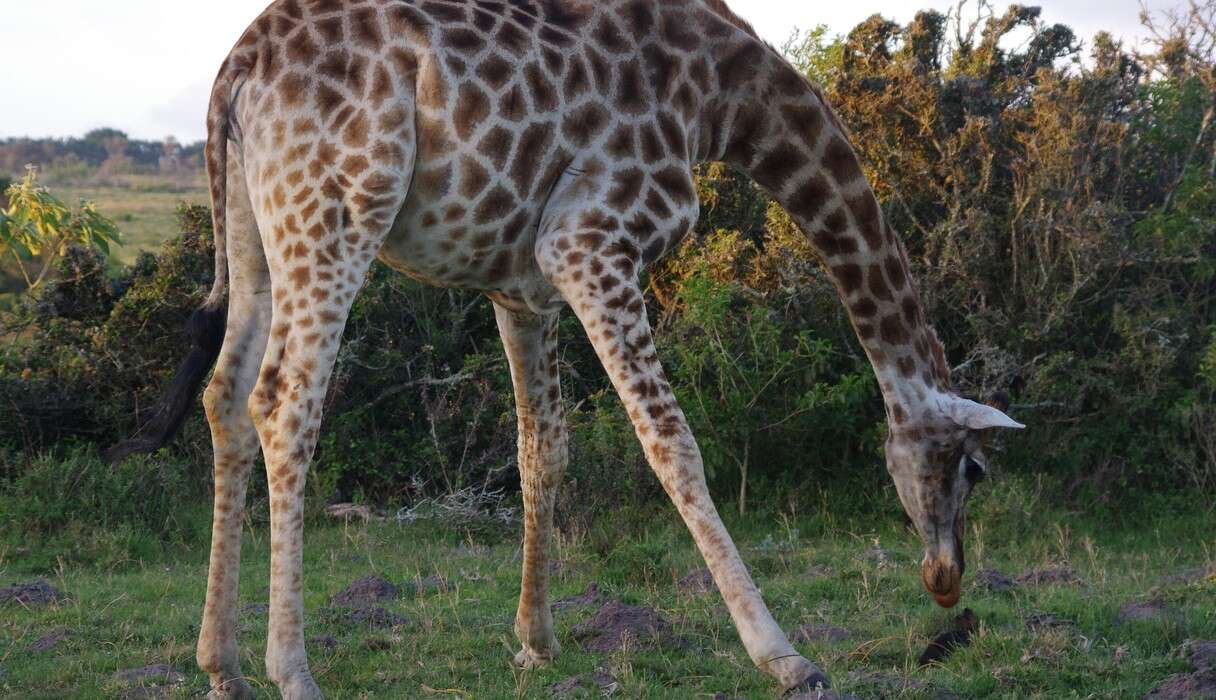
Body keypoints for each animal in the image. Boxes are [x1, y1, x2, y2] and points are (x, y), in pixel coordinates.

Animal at [109, 0, 1026, 697]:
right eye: (975, 469)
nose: (945, 582)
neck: (723, 98)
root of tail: (236, 71)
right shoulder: (592, 242)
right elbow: (672, 444)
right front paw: (784, 656)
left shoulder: (523, 286)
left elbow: (541, 446)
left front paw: (535, 640)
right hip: (337, 210)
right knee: (283, 404)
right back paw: (292, 670)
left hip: (256, 225)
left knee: (225, 396)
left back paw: (220, 663)